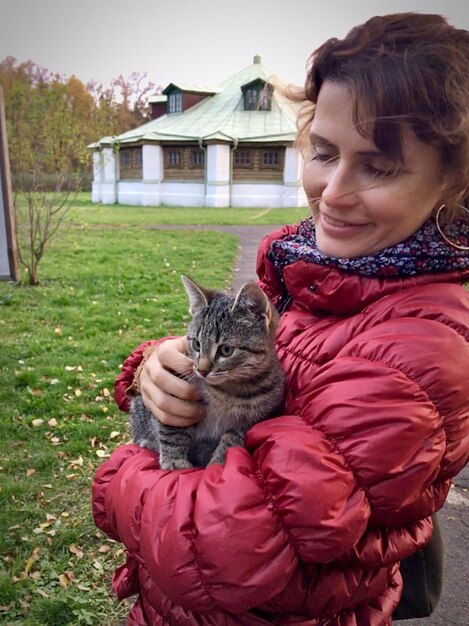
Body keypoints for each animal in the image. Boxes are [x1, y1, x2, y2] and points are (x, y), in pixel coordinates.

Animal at [128, 274, 284, 468]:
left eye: (226, 350)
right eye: (196, 344)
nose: (201, 370)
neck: (231, 390)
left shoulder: (249, 421)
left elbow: (231, 440)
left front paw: (219, 462)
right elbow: (172, 430)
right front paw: (174, 459)